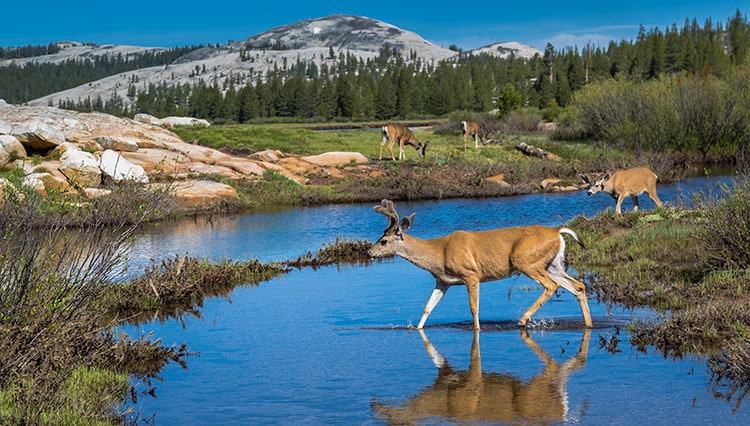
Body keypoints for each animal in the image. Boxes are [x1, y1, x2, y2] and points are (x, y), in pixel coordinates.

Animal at [368, 200, 592, 330]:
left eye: (384, 241)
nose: (368, 252)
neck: (439, 253)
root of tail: (557, 232)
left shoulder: (471, 274)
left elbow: (473, 307)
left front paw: (476, 329)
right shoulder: (443, 281)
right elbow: (427, 307)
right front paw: (417, 328)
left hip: (526, 261)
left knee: (552, 286)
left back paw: (523, 319)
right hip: (553, 264)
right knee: (578, 286)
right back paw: (588, 324)